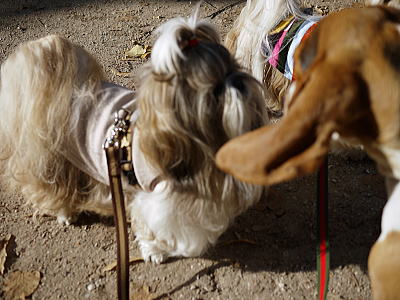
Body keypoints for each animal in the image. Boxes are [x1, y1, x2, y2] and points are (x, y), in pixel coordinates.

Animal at [1, 13, 268, 262]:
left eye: (234, 67)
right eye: (215, 90)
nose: (239, 81)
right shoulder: (157, 199)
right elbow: (153, 228)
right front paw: (155, 252)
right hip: (52, 158)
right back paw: (65, 213)